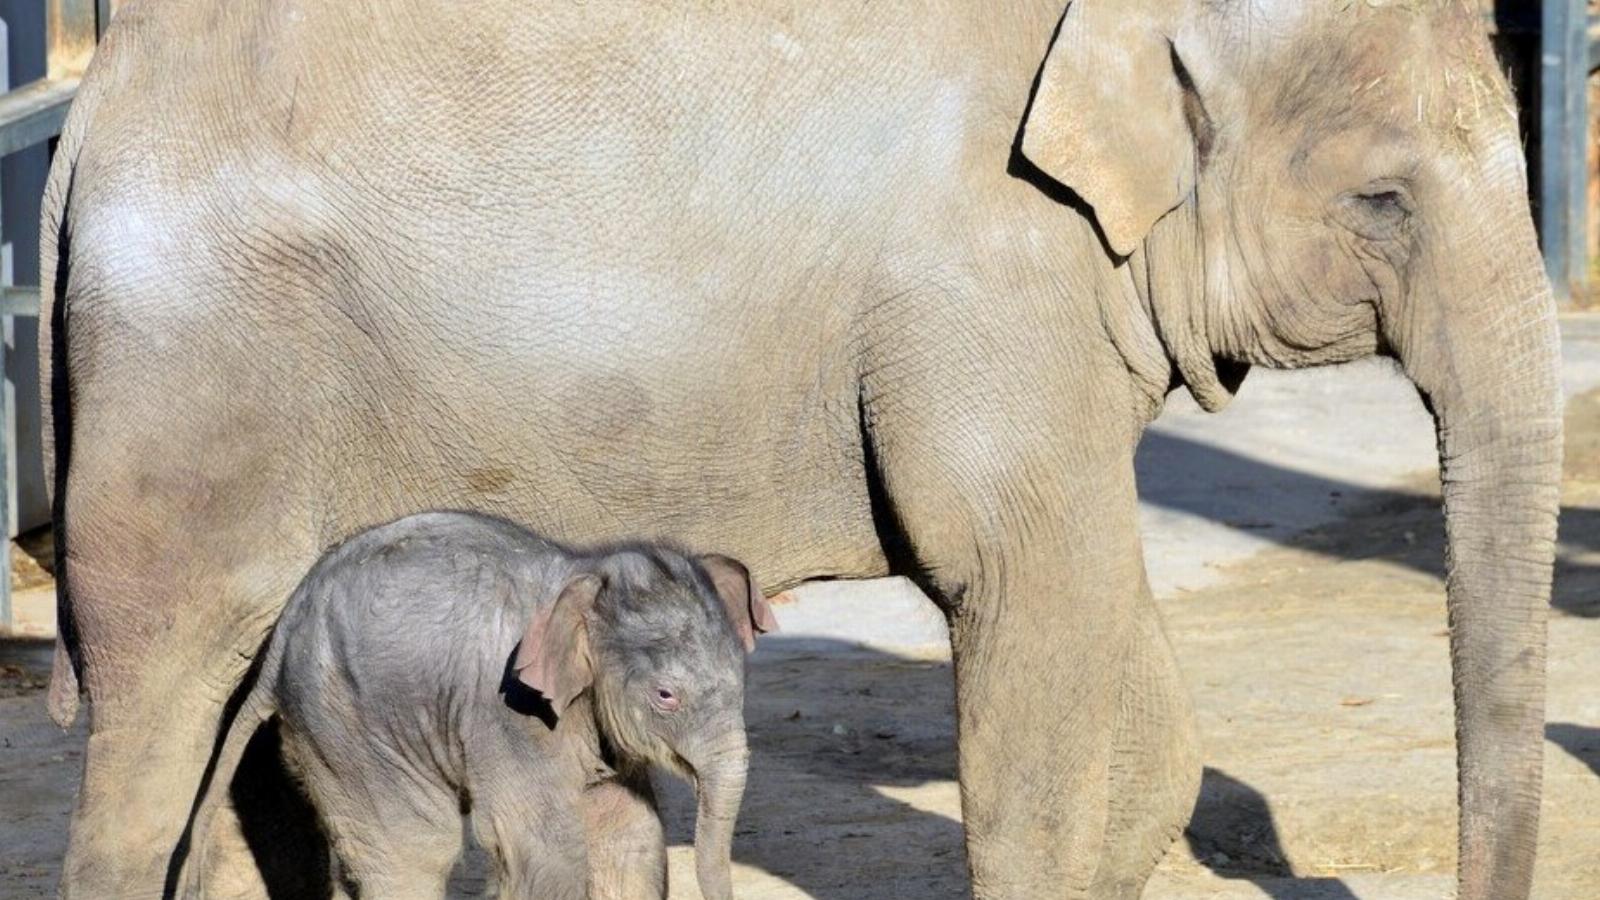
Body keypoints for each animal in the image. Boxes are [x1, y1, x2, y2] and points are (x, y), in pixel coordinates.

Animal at [184, 512, 777, 896]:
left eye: (741, 680)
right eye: (665, 696)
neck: (581, 572)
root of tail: (281, 635)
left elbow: (629, 835)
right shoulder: (511, 714)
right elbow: (544, 848)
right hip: (346, 728)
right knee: (414, 854)